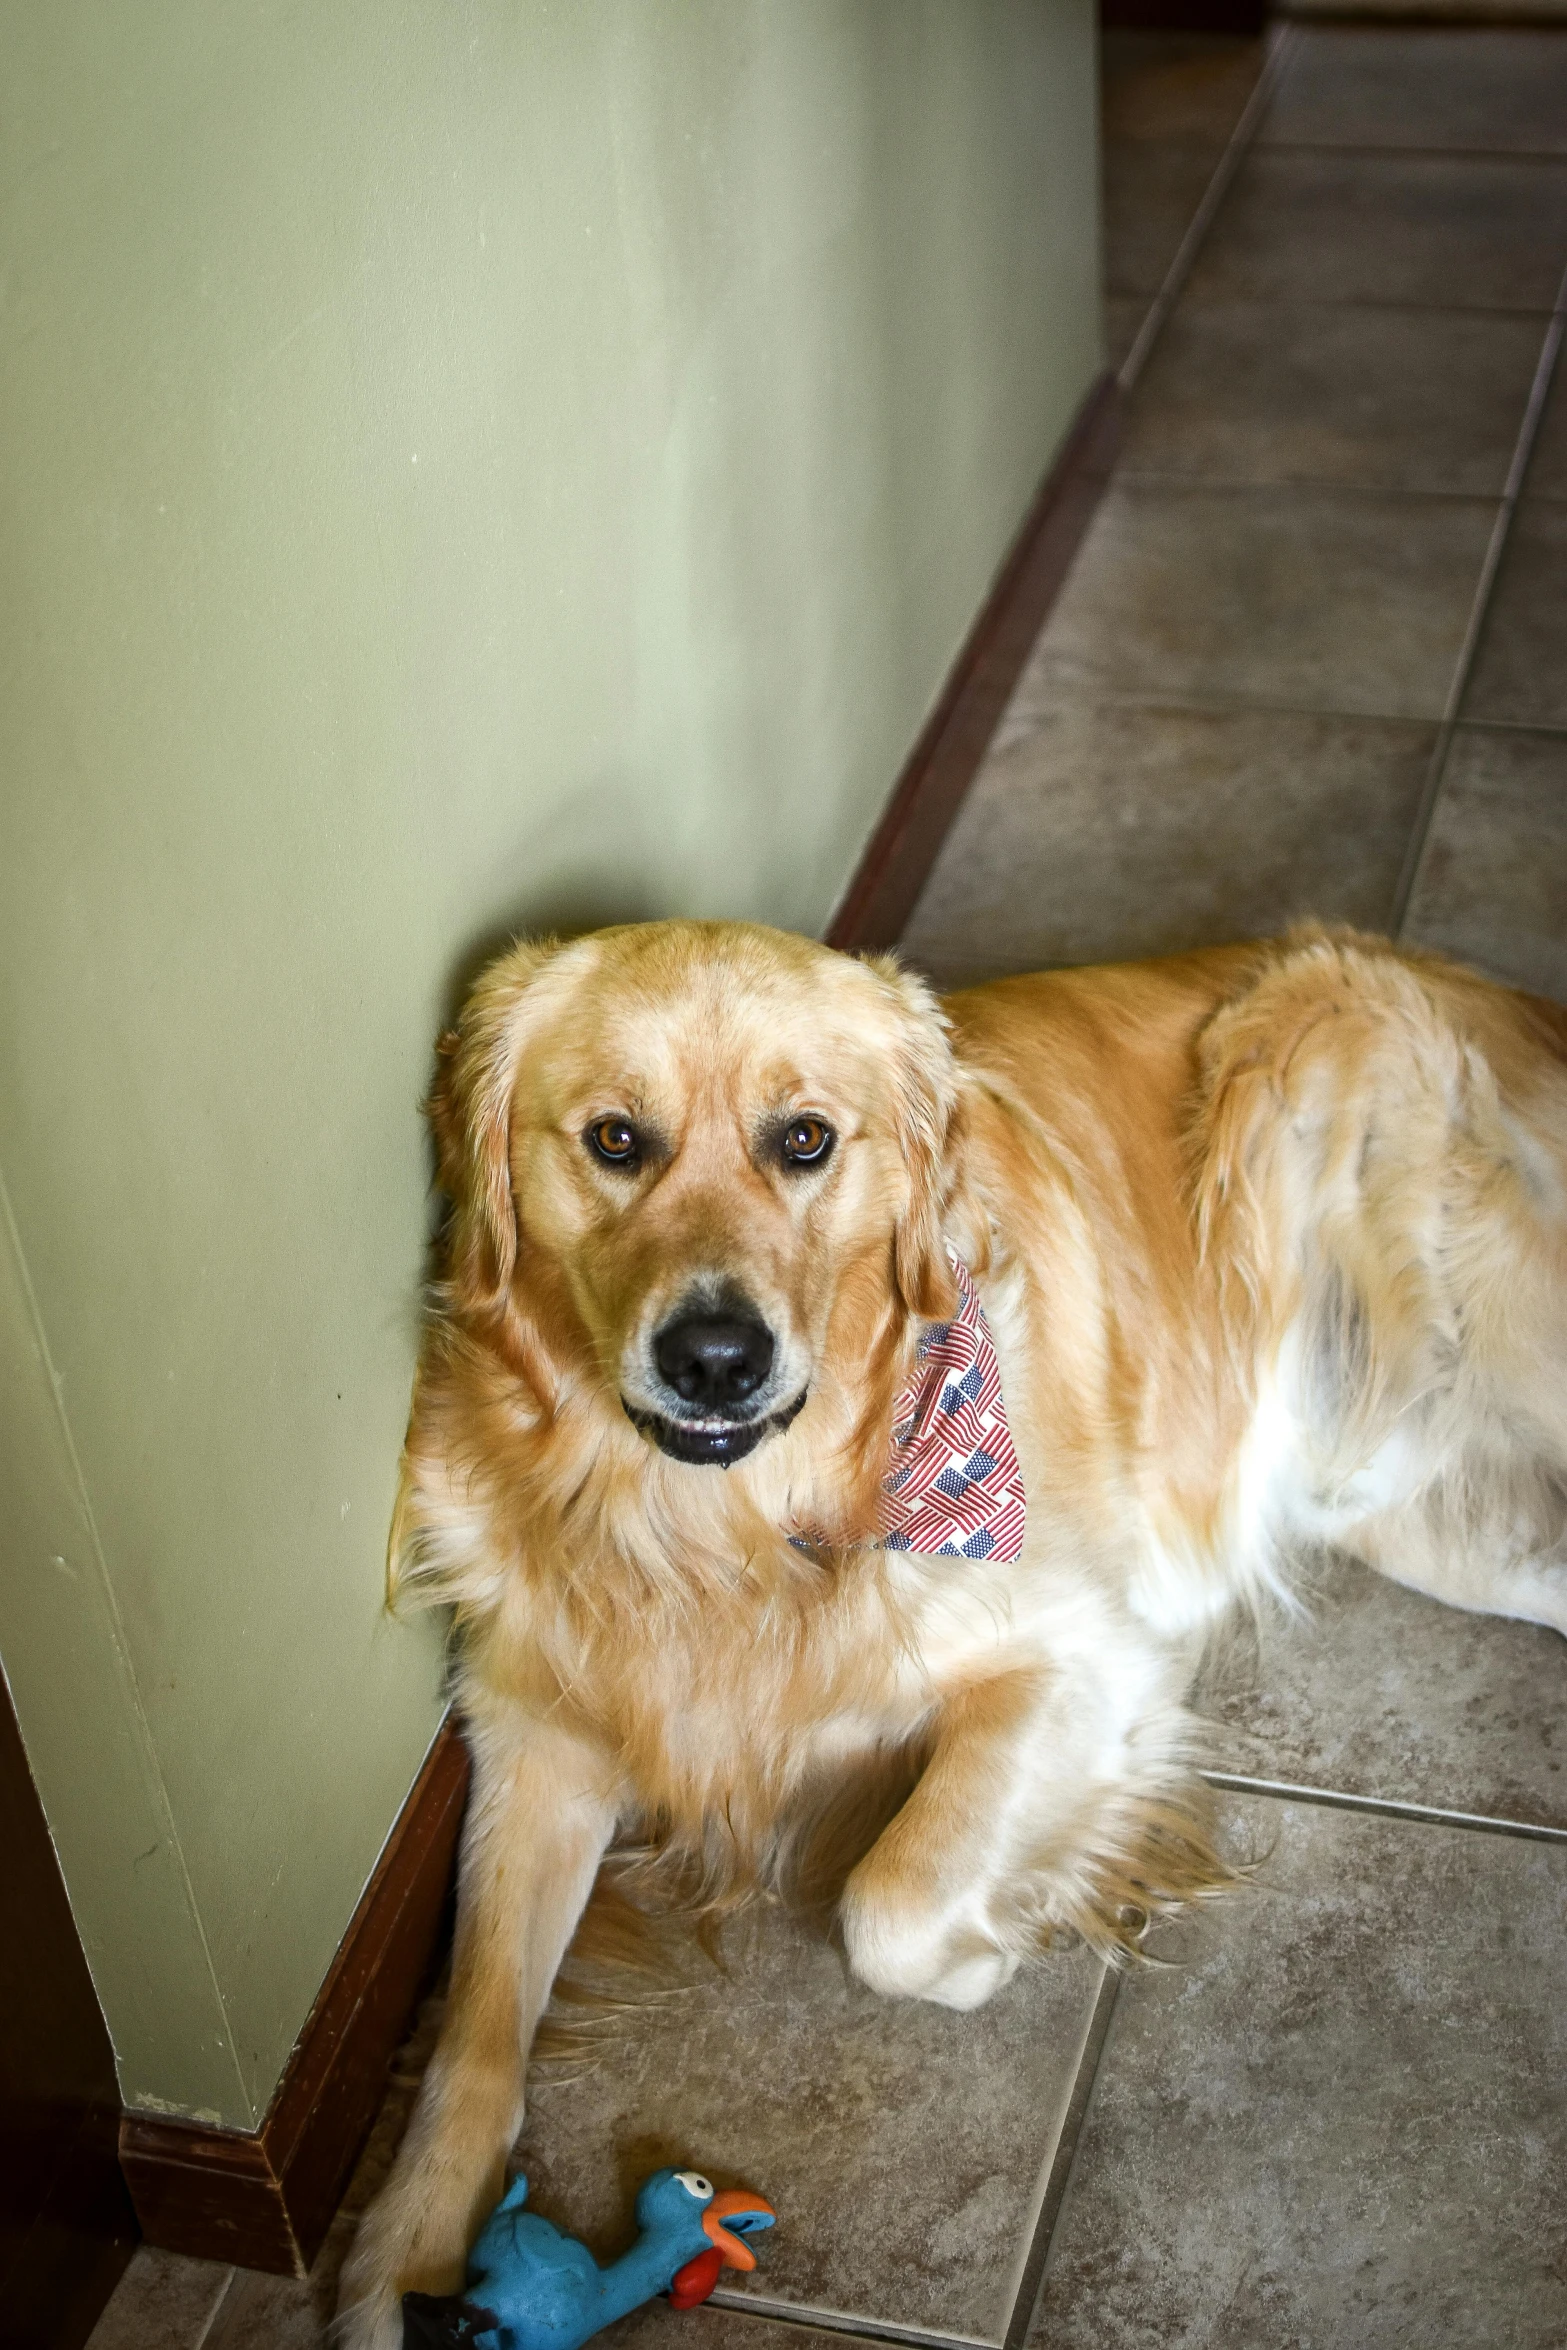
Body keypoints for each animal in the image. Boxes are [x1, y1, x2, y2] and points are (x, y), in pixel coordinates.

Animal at [340, 921, 1567, 2350]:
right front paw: (404, 2255)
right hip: (1410, 1502)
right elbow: (474, 2030)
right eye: (614, 1139)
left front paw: (996, 1945)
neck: (719, 1540)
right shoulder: (532, 1736)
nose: (715, 1357)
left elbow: (892, 1903)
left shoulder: (1083, 1657)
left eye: (805, 1139)